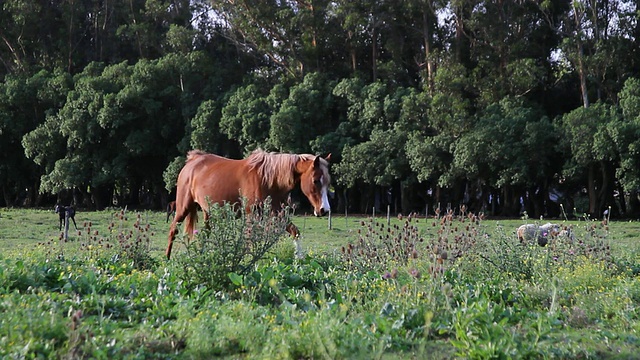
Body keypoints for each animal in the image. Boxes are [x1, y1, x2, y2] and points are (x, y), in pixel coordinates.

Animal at [166, 148, 330, 258]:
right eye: (316, 180)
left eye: (328, 182)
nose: (324, 210)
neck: (269, 179)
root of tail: (192, 161)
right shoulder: (253, 215)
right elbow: (250, 241)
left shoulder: (278, 214)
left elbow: (296, 233)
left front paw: (299, 260)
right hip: (183, 207)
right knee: (173, 230)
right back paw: (167, 260)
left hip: (208, 213)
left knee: (205, 234)